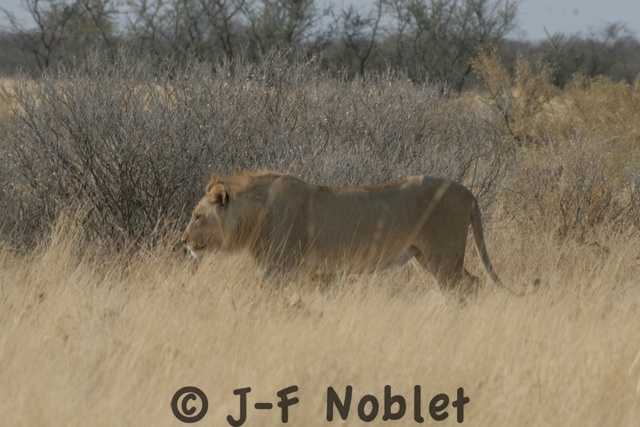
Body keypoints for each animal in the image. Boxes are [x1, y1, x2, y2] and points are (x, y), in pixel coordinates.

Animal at [181, 170, 509, 297]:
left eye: (197, 216)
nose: (183, 241)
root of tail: (465, 190)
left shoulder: (278, 270)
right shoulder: (315, 274)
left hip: (444, 257)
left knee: (465, 288)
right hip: (430, 258)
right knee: (473, 282)